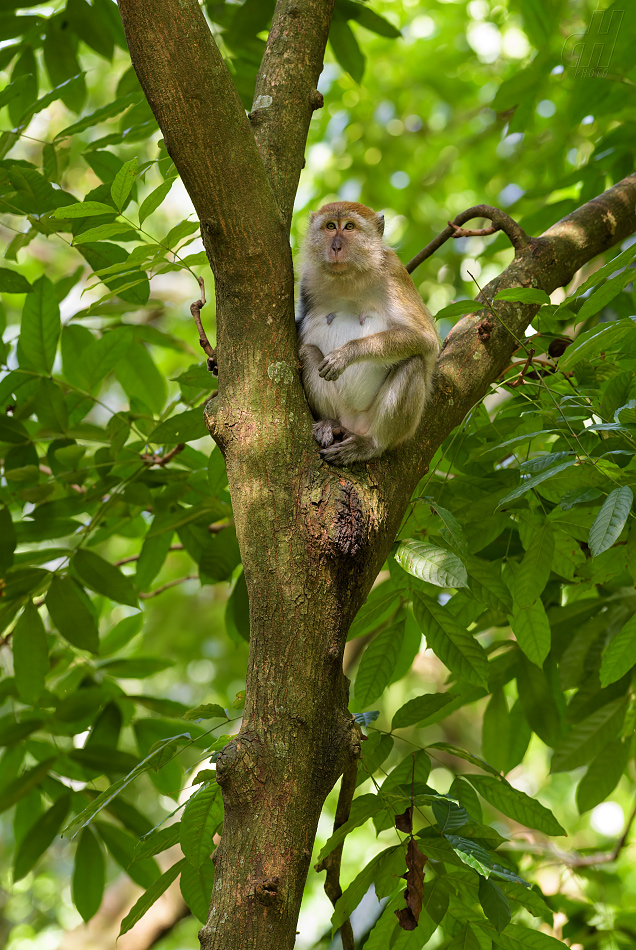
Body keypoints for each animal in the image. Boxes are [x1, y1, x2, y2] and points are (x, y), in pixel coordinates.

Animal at [296, 203, 438, 466]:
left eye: (349, 227)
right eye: (330, 226)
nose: (336, 247)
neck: (348, 276)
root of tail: (353, 424)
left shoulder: (394, 273)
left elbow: (423, 337)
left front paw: (347, 353)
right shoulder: (307, 280)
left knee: (412, 363)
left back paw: (371, 445)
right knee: (308, 352)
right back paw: (330, 423)